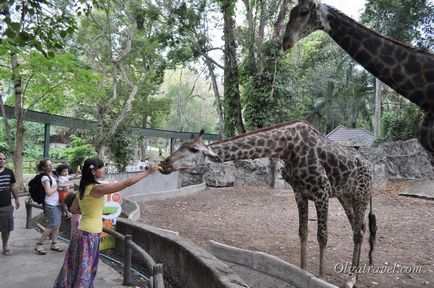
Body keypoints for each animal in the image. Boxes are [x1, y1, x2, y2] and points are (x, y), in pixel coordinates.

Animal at [159, 120, 376, 284]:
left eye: (194, 149)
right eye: (181, 146)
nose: (164, 163)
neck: (287, 148)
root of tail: (369, 165)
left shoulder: (322, 192)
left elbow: (322, 236)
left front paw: (320, 277)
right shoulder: (300, 193)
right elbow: (303, 232)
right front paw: (303, 270)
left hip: (361, 194)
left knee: (358, 232)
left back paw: (351, 279)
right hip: (345, 196)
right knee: (360, 229)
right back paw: (355, 276)